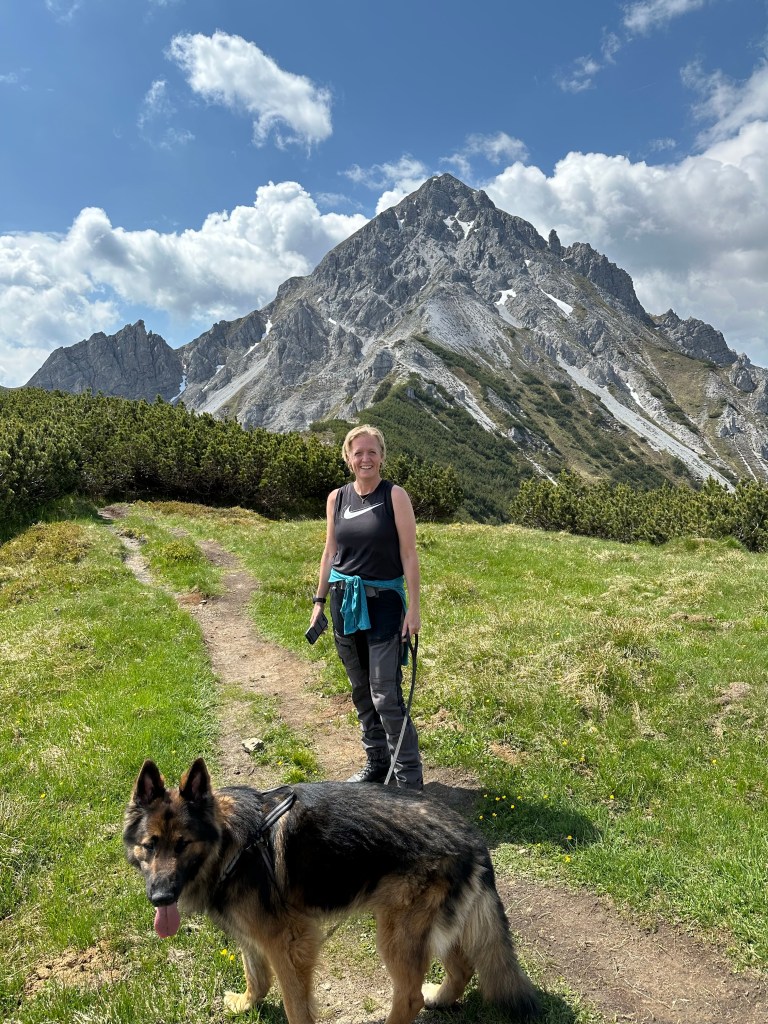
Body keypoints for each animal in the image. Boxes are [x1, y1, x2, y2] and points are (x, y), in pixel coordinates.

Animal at [124, 758, 540, 1024]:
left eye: (182, 844)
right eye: (150, 845)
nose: (160, 898)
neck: (228, 842)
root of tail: (473, 837)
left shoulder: (287, 941)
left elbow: (294, 1003)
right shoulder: (253, 932)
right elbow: (255, 975)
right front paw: (245, 1004)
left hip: (396, 934)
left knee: (410, 997)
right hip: (431, 925)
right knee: (463, 966)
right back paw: (441, 997)